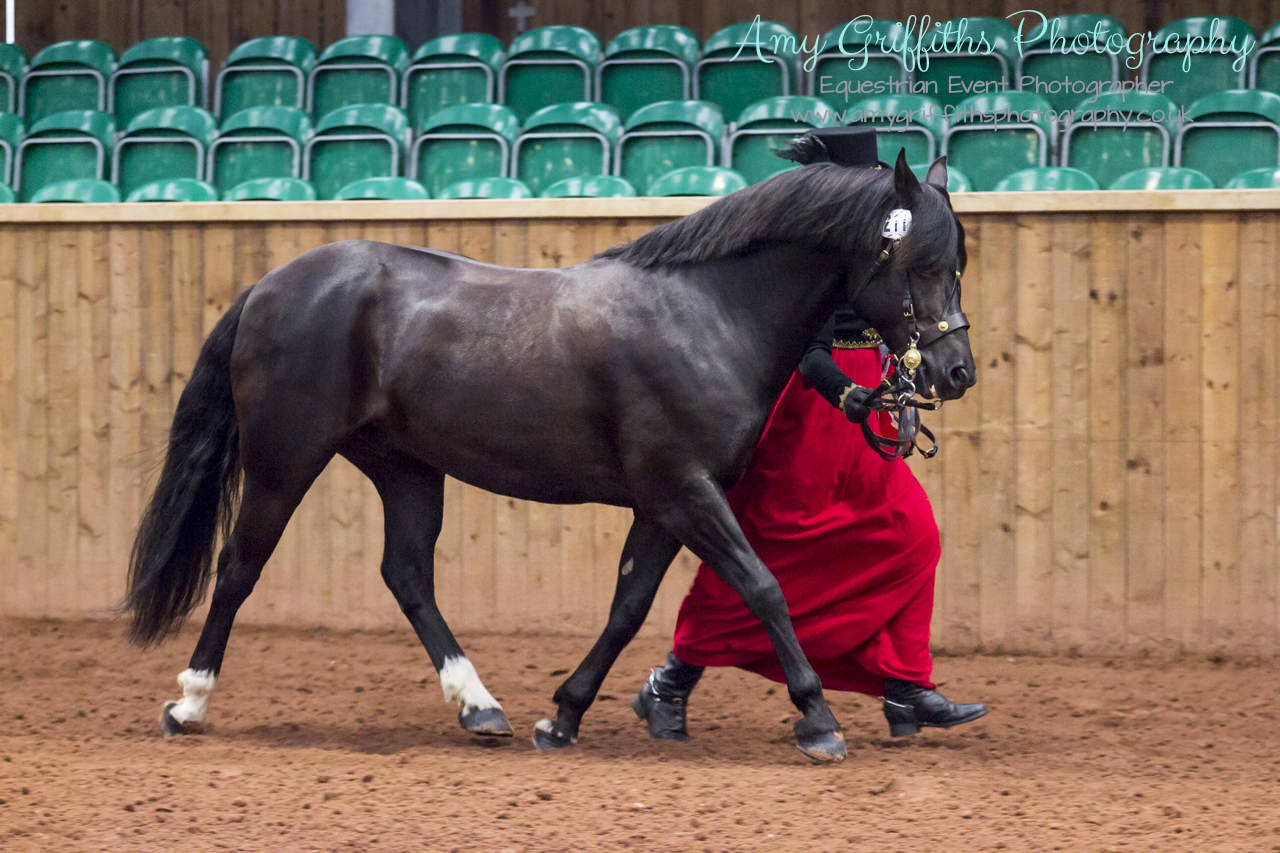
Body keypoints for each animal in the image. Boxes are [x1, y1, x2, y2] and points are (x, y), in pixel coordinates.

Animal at [127, 149, 967, 758]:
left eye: (957, 264)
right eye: (924, 264)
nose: (957, 371)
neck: (705, 313)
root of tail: (269, 285)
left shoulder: (663, 502)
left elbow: (629, 606)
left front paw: (561, 716)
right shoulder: (684, 488)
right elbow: (763, 587)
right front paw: (819, 718)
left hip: (406, 467)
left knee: (407, 575)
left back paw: (481, 707)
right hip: (286, 458)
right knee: (240, 566)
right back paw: (188, 702)